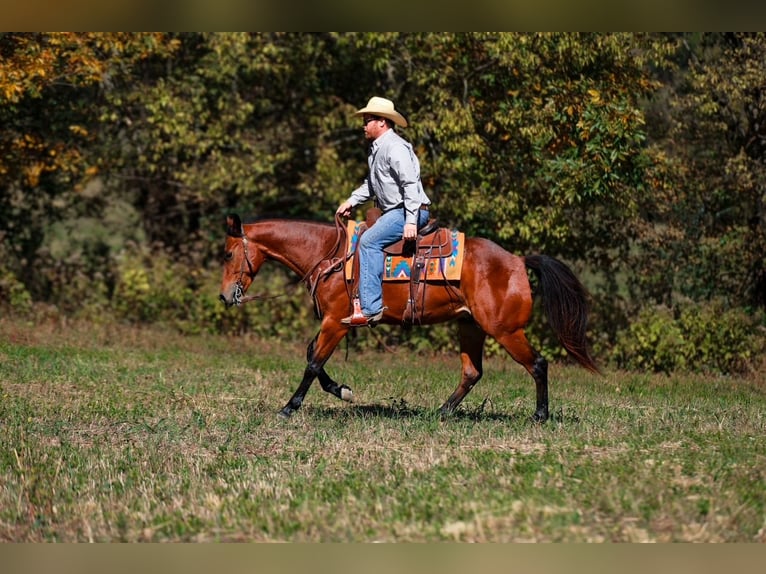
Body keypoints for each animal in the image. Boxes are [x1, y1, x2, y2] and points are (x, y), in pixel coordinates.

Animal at [219, 213, 599, 422]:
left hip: (505, 330)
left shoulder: (336, 322)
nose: (224, 296)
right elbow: (313, 356)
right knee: (472, 372)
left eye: (227, 254)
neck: (328, 254)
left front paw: (290, 407)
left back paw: (540, 415)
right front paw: (342, 390)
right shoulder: (332, 323)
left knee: (537, 364)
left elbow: (313, 363)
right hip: (470, 326)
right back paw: (442, 412)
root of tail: (518, 261)